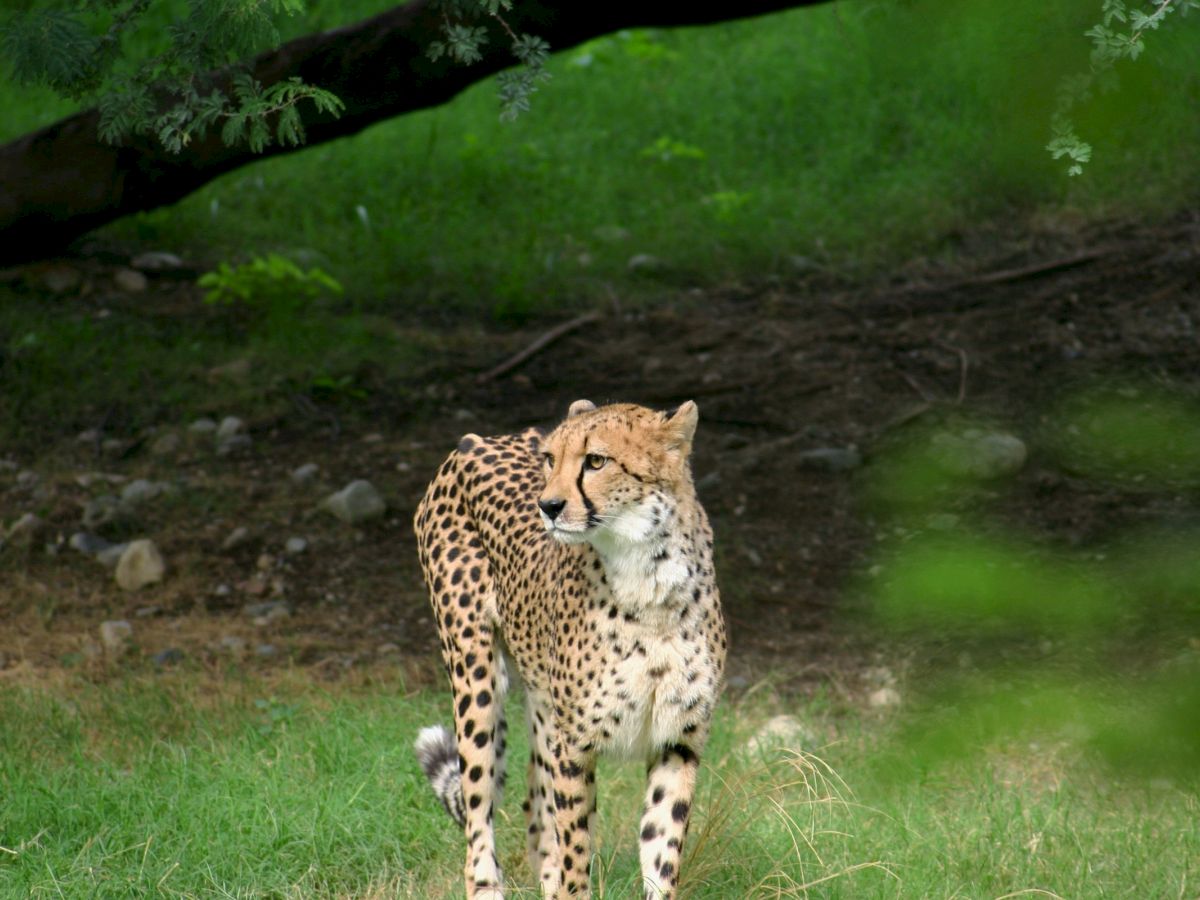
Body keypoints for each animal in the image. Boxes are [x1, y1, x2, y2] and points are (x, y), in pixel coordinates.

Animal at [413, 399, 727, 899]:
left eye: (596, 461)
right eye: (550, 459)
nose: (548, 505)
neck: (649, 581)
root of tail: (478, 440)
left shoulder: (677, 742)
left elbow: (661, 850)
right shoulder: (574, 747)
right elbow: (575, 853)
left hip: (542, 703)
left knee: (534, 813)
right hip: (475, 675)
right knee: (480, 811)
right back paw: (486, 883)